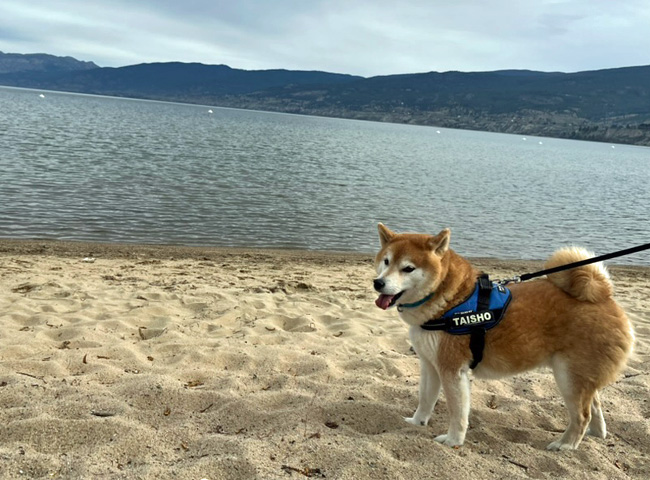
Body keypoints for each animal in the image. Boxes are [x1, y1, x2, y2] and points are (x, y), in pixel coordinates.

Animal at [373, 223, 634, 450]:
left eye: (408, 268)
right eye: (386, 262)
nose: (378, 283)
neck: (451, 301)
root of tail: (605, 297)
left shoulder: (452, 370)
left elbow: (457, 412)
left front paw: (453, 440)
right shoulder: (430, 364)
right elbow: (425, 399)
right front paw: (417, 423)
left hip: (568, 376)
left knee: (582, 415)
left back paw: (566, 445)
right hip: (580, 374)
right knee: (595, 404)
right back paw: (596, 433)